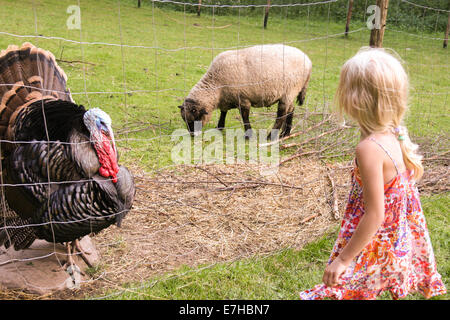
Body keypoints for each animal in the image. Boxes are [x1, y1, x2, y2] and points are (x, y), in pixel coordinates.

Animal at [178, 44, 312, 139]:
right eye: (185, 120)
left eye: (196, 118)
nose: (192, 136)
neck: (216, 83)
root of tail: (308, 62)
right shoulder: (226, 98)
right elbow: (223, 112)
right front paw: (219, 127)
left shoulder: (243, 99)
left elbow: (244, 117)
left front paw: (248, 135)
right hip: (291, 92)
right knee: (291, 110)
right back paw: (285, 134)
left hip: (289, 91)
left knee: (281, 116)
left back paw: (270, 137)